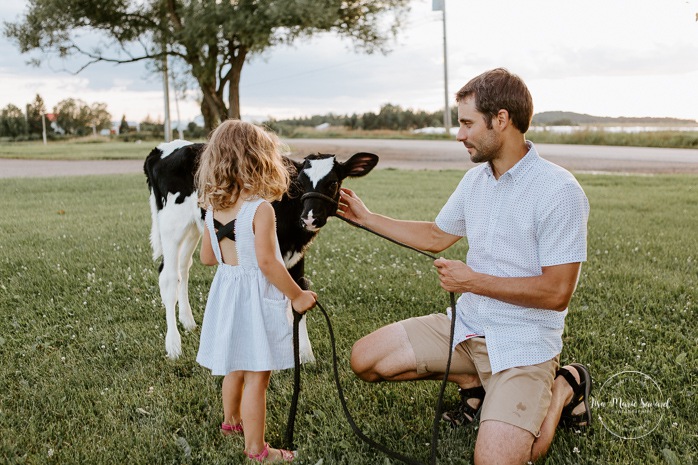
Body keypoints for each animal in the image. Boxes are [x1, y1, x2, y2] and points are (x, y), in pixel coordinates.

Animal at [143, 140, 378, 358]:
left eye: (332, 183)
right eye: (300, 183)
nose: (310, 218)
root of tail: (162, 149)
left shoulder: (296, 254)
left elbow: (299, 292)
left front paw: (303, 354)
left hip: (193, 227)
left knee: (183, 268)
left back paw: (188, 322)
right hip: (172, 224)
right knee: (169, 277)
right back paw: (174, 345)